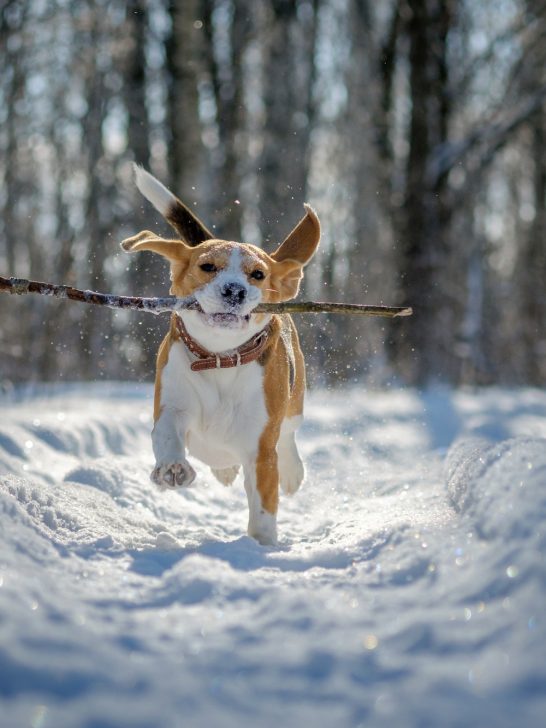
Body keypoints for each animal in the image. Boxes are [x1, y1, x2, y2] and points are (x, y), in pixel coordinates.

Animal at [121, 168, 318, 544]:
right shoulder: (172, 404)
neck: (219, 359)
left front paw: (261, 545)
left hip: (296, 398)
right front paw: (172, 468)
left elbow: (263, 506)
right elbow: (166, 434)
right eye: (208, 266)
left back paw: (293, 470)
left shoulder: (260, 448)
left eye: (258, 274)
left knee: (289, 433)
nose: (234, 291)